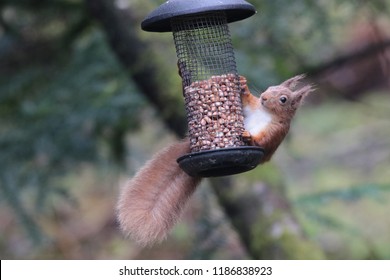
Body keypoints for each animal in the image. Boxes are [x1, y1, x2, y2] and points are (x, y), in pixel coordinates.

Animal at [116, 74, 314, 245]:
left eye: (283, 99)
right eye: (270, 88)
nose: (264, 97)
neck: (266, 113)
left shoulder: (276, 133)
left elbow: (263, 142)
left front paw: (250, 137)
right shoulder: (253, 108)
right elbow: (248, 103)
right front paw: (243, 86)